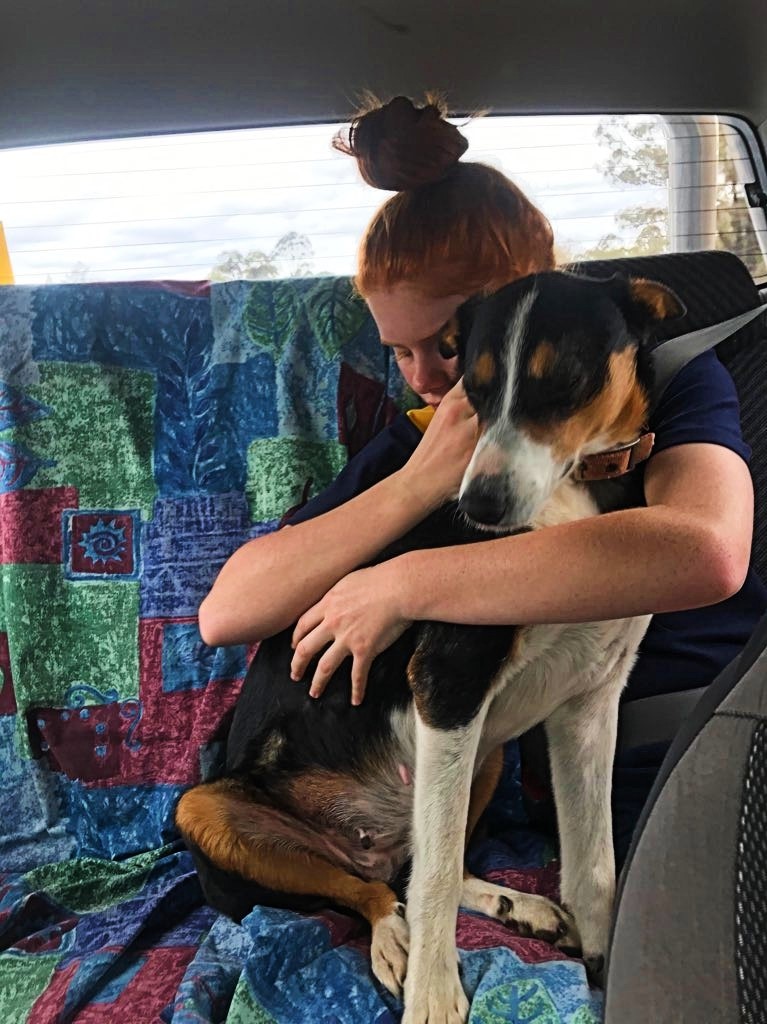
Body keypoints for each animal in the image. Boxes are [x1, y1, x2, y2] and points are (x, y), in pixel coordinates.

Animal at [175, 270, 684, 1024]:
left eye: (563, 376)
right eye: (472, 388)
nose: (478, 506)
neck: (573, 501)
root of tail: (366, 845)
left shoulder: (590, 702)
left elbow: (594, 860)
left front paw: (604, 954)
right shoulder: (446, 683)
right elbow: (437, 878)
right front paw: (434, 994)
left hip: (487, 751)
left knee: (414, 865)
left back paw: (513, 902)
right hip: (210, 811)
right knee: (381, 889)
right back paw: (395, 941)